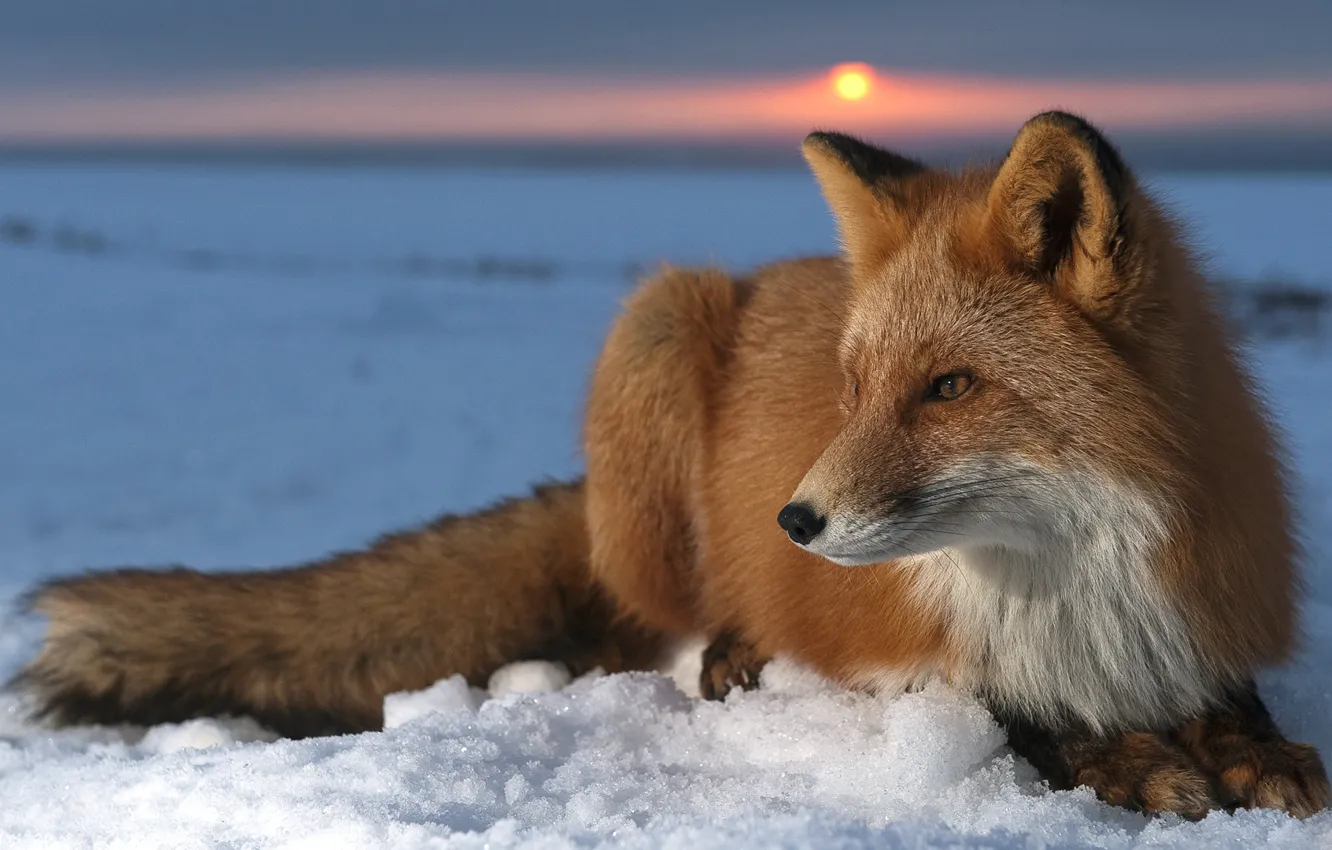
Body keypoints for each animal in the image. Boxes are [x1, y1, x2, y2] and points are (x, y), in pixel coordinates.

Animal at [11, 111, 1329, 820]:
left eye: (950, 387)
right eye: (854, 389)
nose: (794, 520)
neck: (1075, 587)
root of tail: (768, 272)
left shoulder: (1201, 617)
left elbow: (1236, 705)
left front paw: (1252, 752)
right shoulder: (913, 661)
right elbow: (1021, 719)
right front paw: (1134, 762)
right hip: (654, 327)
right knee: (639, 625)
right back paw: (728, 650)